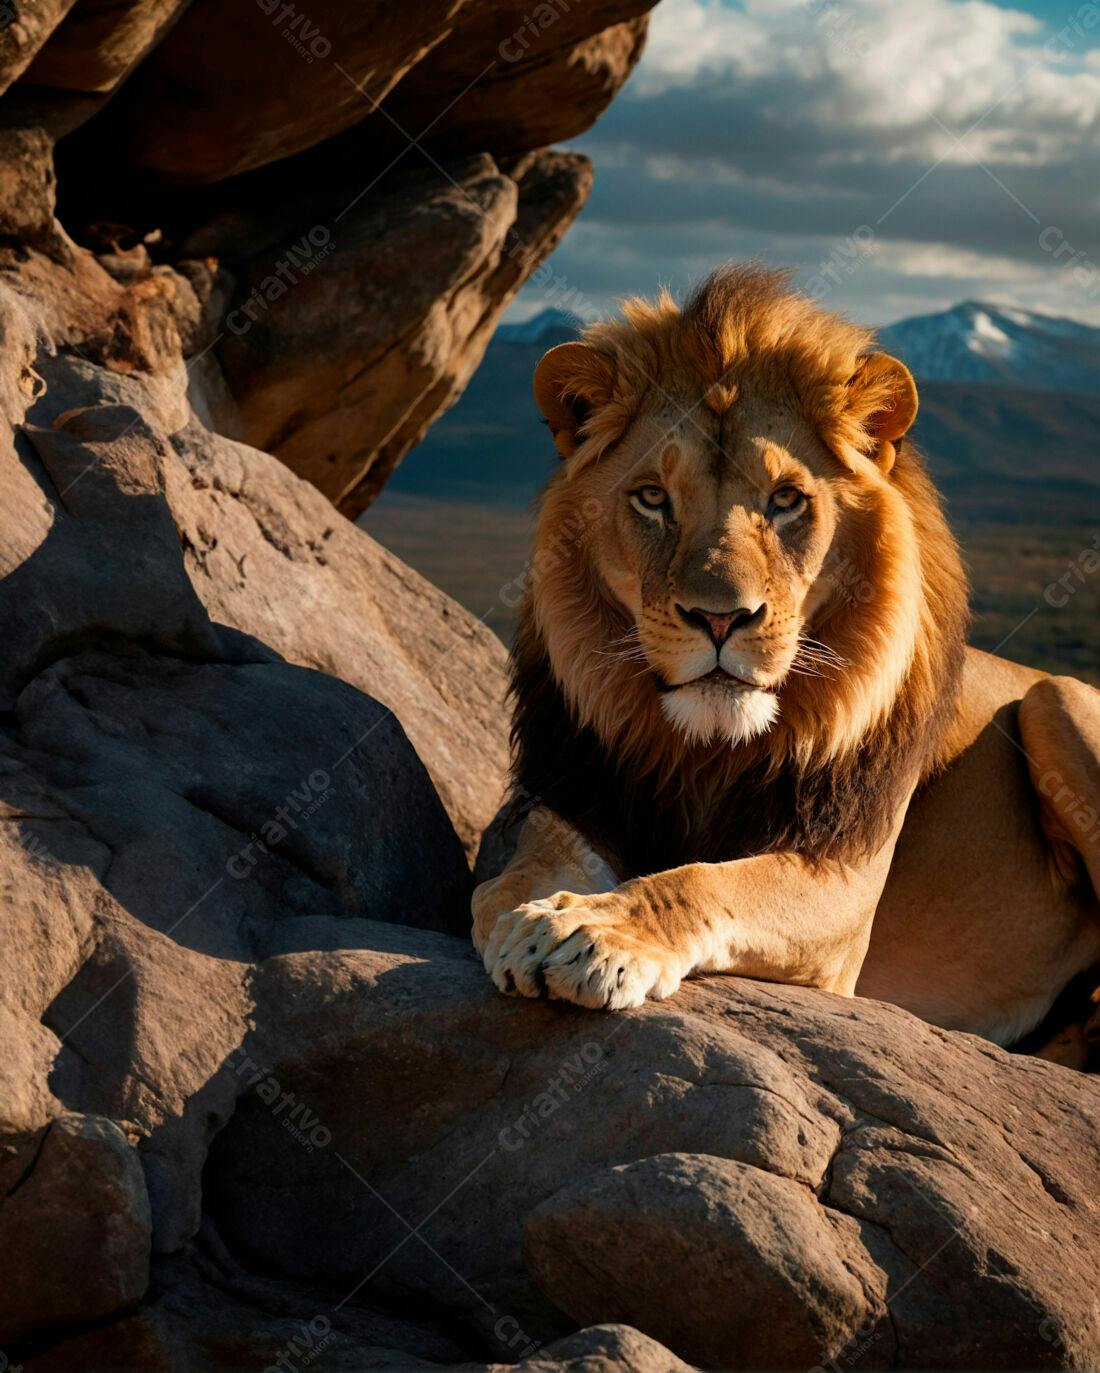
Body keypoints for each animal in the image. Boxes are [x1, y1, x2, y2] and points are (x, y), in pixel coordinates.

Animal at [471, 264, 1100, 1064]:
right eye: (652, 498)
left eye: (786, 499)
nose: (719, 617)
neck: (702, 752)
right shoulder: (571, 799)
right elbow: (504, 881)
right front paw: (531, 921)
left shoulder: (842, 884)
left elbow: (704, 882)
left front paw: (594, 931)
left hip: (1061, 697)